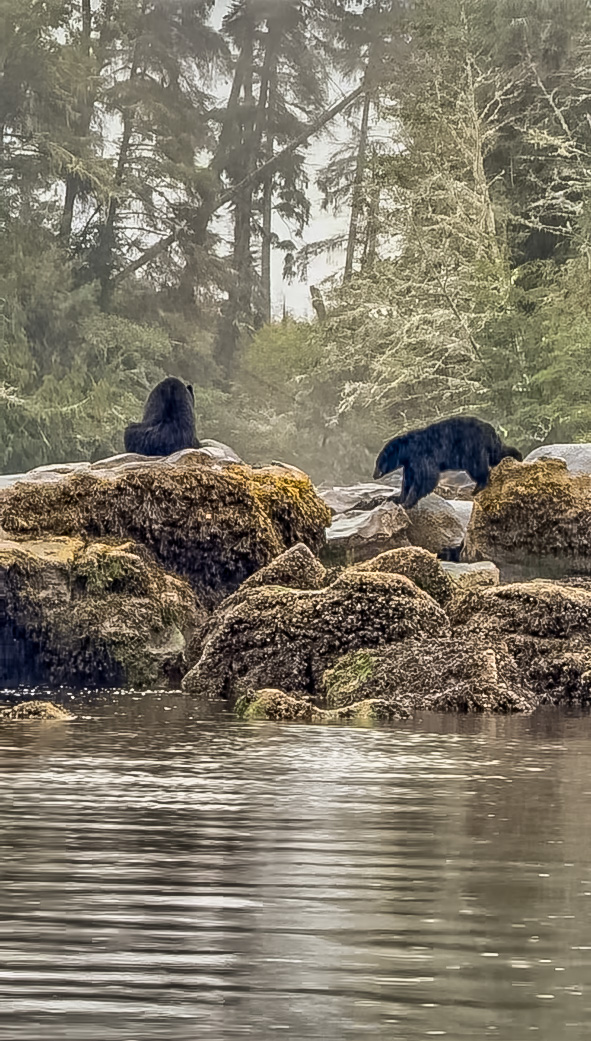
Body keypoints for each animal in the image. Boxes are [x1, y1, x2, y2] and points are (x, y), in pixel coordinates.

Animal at [373, 416, 522, 509]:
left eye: (378, 463)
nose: (374, 475)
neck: (407, 449)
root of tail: (490, 429)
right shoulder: (410, 463)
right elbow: (408, 481)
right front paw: (397, 498)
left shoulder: (421, 456)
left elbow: (425, 478)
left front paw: (408, 502)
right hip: (488, 445)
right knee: (497, 454)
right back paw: (516, 455)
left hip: (471, 448)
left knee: (478, 467)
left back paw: (478, 488)